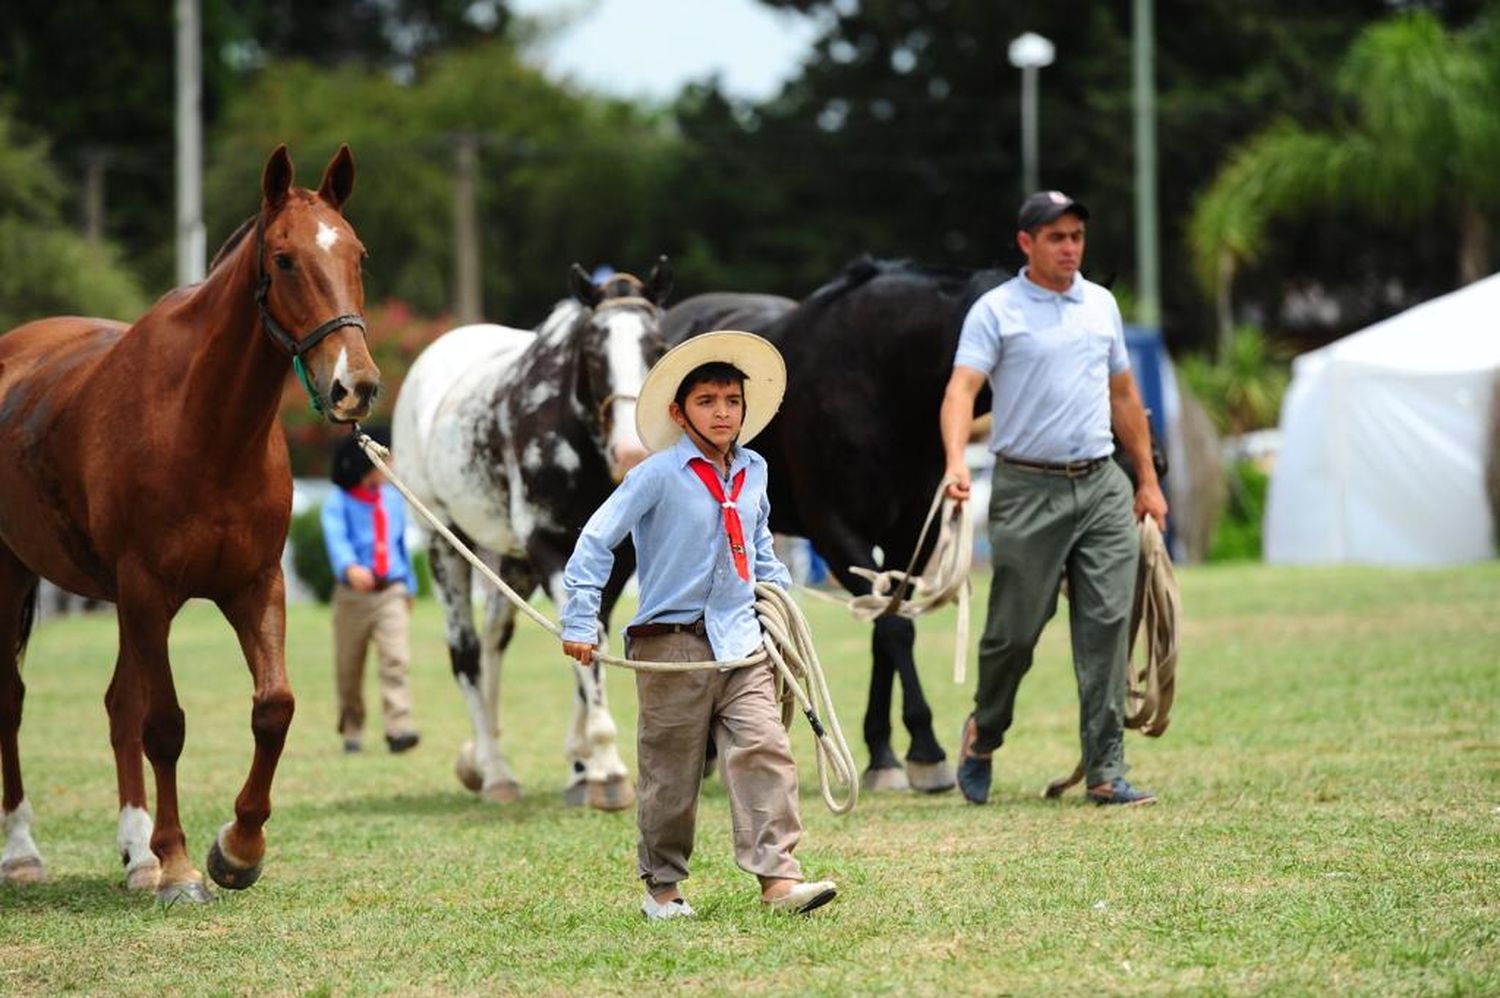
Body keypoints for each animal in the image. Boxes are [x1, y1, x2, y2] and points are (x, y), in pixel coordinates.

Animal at [0, 144, 381, 900]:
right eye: (285, 259)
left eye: (357, 254)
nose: (356, 385)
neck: (203, 425)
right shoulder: (149, 589)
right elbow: (166, 725)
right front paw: (179, 865)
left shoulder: (253, 585)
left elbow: (274, 707)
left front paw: (237, 848)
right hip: (11, 572)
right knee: (13, 699)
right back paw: (25, 852)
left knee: (117, 704)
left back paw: (135, 854)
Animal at [393, 258, 669, 810]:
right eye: (592, 352)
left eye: (657, 346)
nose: (632, 451)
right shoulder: (550, 549)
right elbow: (586, 643)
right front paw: (605, 765)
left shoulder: (619, 560)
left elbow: (591, 638)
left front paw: (583, 766)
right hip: (444, 542)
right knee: (467, 653)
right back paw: (496, 772)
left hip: (510, 563)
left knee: (495, 641)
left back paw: (483, 759)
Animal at [663, 258, 1002, 792]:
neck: (882, 382)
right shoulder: (836, 531)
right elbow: (893, 629)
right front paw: (926, 752)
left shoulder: (910, 533)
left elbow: (889, 625)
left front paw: (885, 751)